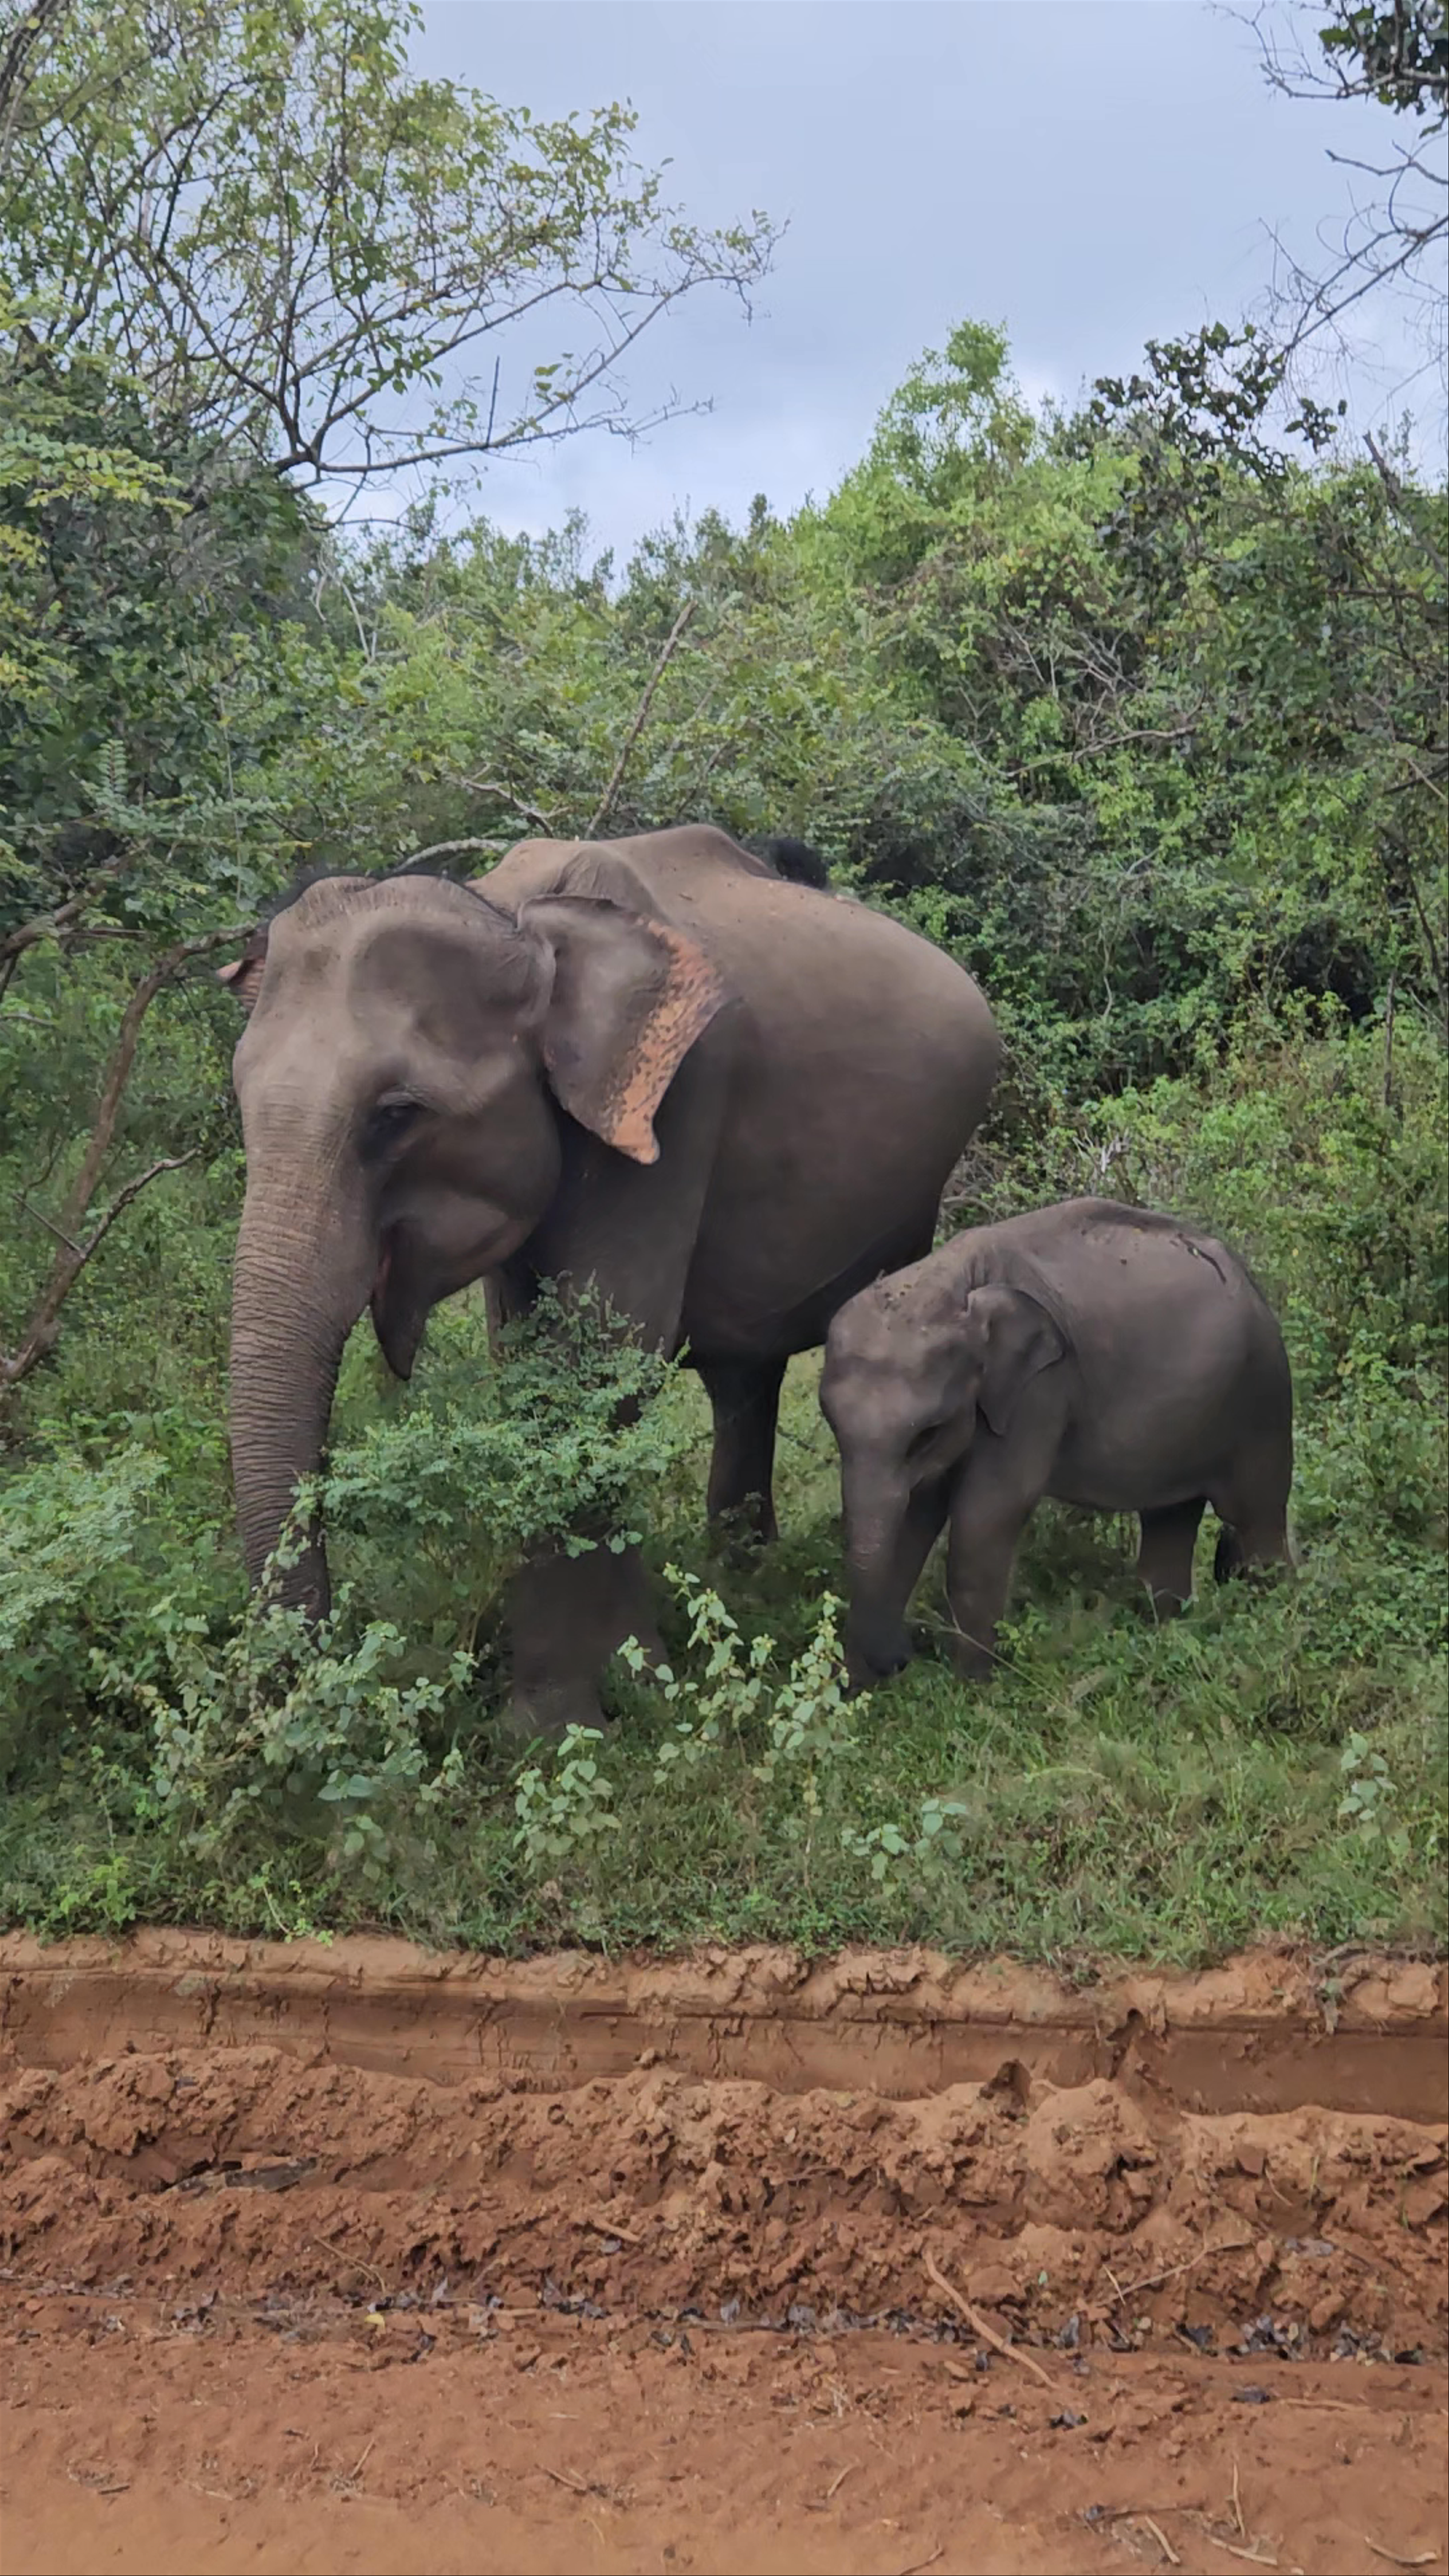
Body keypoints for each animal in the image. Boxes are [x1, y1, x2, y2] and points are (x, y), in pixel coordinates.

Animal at [221, 823, 1000, 1737]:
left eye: (396, 1115)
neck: (513, 914)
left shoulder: (679, 1097)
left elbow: (604, 1356)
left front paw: (564, 1723)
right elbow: (534, 1363)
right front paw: (630, 1683)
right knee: (746, 1379)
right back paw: (738, 1572)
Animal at [818, 1196, 1294, 1686]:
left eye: (926, 1433)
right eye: (830, 1421)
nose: (900, 1657)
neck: (951, 1277)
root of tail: (1250, 1280)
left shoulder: (1040, 1390)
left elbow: (987, 1511)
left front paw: (973, 1689)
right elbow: (920, 1511)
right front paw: (859, 1693)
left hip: (1262, 1398)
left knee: (1256, 1520)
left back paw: (1274, 1619)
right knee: (1169, 1523)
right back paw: (1167, 1635)